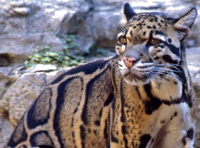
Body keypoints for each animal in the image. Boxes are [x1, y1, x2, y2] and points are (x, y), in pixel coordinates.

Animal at [7, 2, 197, 148]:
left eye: (153, 41)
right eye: (123, 40)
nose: (128, 60)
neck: (168, 90)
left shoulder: (179, 138)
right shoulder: (127, 140)